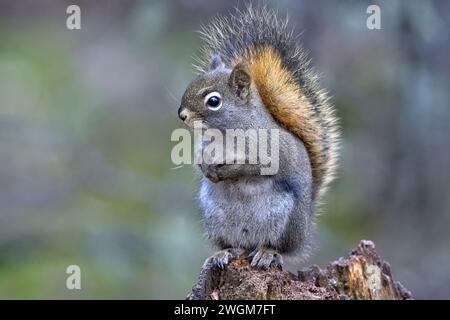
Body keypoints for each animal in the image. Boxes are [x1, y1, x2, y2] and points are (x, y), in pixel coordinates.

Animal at [178, 5, 340, 270]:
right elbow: (199, 162)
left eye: (214, 101)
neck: (224, 133)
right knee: (232, 244)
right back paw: (223, 253)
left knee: (278, 247)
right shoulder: (203, 148)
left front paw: (228, 171)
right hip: (216, 219)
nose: (181, 115)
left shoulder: (268, 154)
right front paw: (207, 169)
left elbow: (252, 167)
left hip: (284, 221)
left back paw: (266, 253)